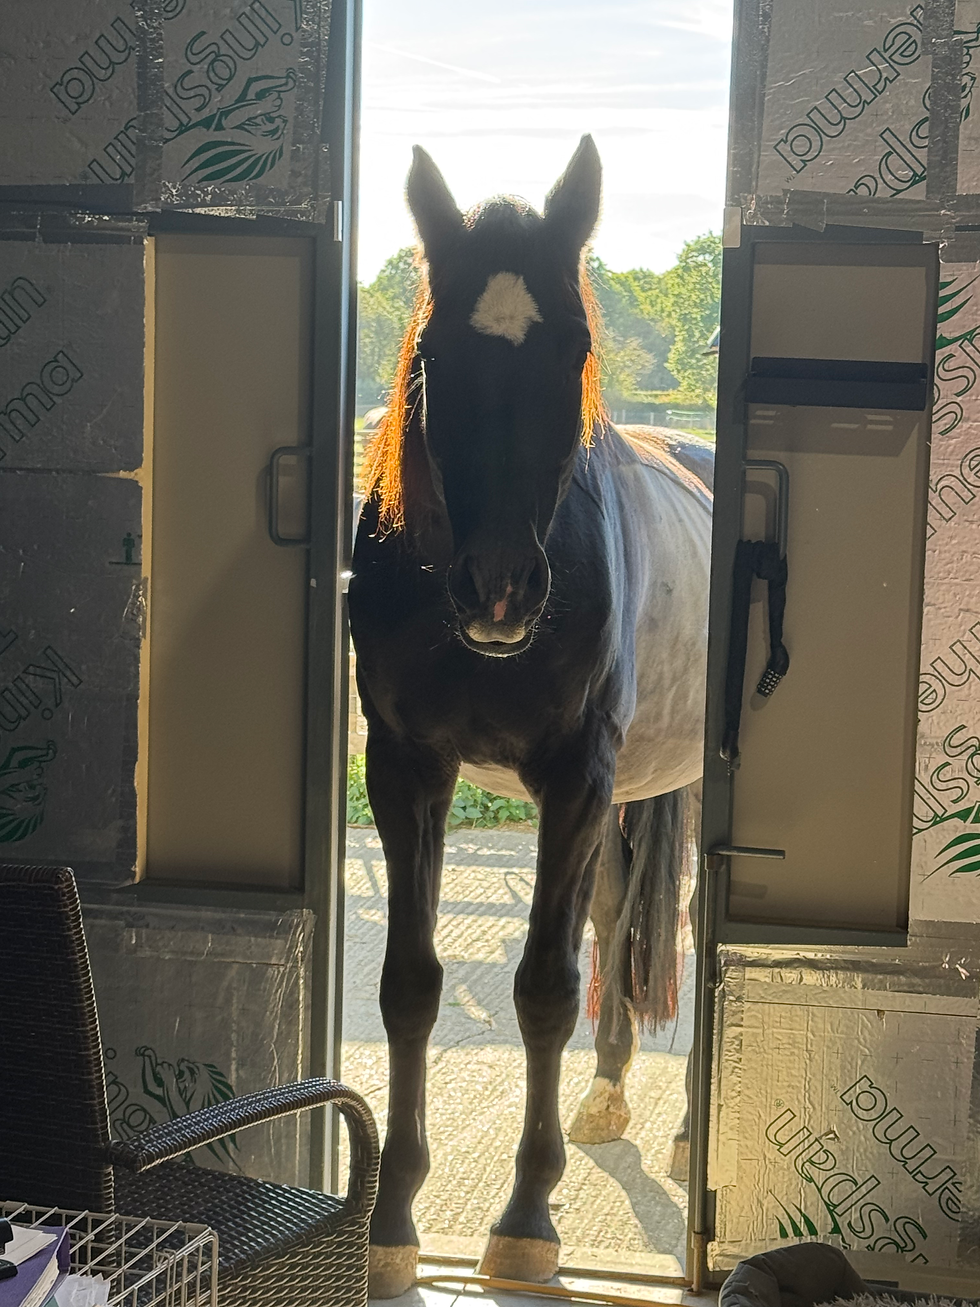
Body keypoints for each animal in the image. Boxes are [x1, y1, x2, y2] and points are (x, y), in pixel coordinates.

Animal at [348, 136, 712, 1297]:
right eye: (433, 356)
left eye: (574, 348)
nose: (501, 590)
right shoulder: (405, 767)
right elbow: (409, 984)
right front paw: (393, 1216)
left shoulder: (576, 775)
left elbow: (545, 987)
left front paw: (524, 1218)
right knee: (615, 910)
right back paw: (605, 1093)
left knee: (678, 922)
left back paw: (679, 1130)